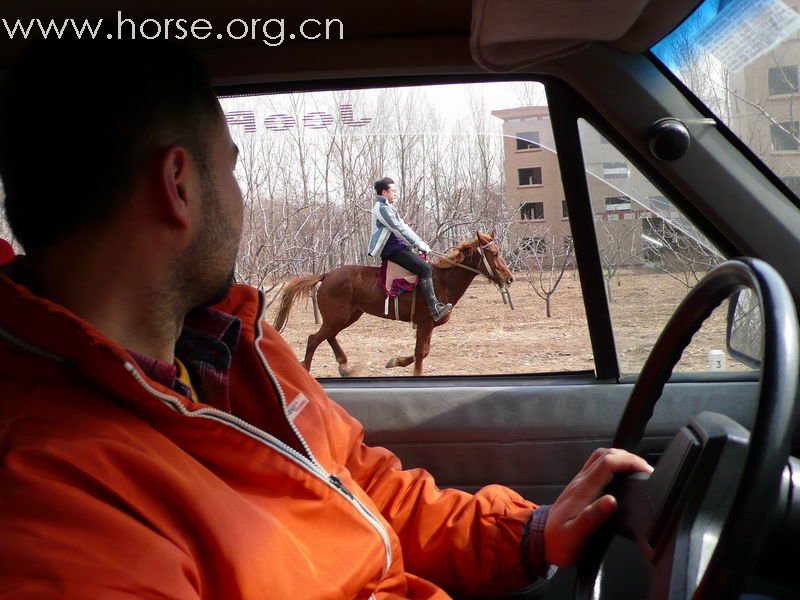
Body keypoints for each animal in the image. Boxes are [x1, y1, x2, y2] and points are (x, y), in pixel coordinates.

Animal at [274, 231, 512, 376]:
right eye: (494, 253)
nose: (509, 278)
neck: (442, 281)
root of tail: (327, 275)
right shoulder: (425, 323)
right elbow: (420, 353)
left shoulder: (428, 326)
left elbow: (422, 352)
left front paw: (395, 361)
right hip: (337, 318)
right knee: (314, 340)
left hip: (348, 316)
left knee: (328, 337)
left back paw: (344, 366)